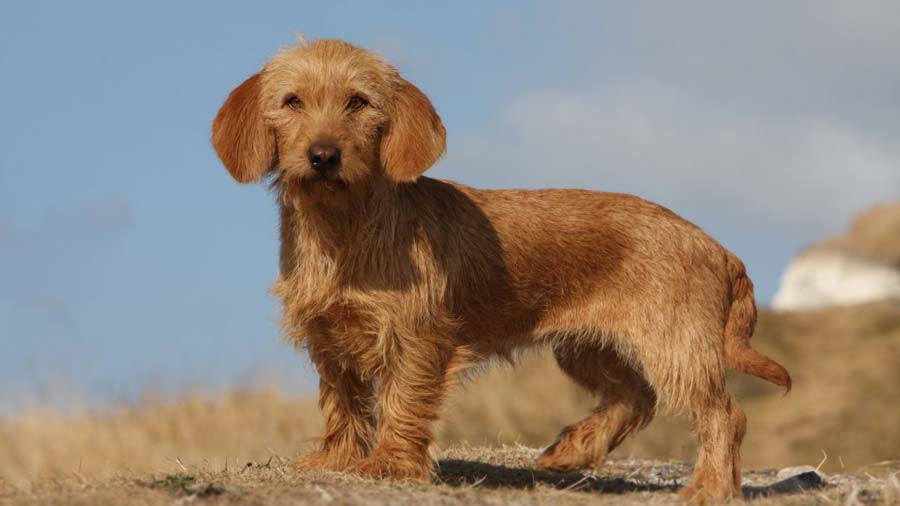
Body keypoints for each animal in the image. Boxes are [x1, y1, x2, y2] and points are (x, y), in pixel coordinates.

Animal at [211, 39, 788, 502]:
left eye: (358, 101)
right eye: (292, 102)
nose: (323, 155)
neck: (343, 229)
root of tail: (716, 246)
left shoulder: (417, 338)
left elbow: (401, 400)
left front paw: (391, 463)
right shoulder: (328, 337)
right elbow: (344, 402)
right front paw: (339, 459)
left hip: (675, 350)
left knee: (723, 414)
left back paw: (709, 487)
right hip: (586, 349)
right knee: (635, 398)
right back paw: (572, 450)